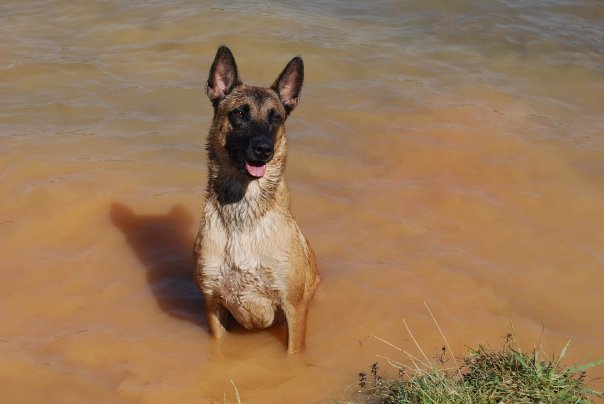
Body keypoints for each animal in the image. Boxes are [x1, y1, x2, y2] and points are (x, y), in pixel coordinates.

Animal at [193, 46, 319, 353]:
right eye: (240, 113)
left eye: (276, 117)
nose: (264, 149)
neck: (243, 212)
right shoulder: (213, 305)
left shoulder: (294, 309)